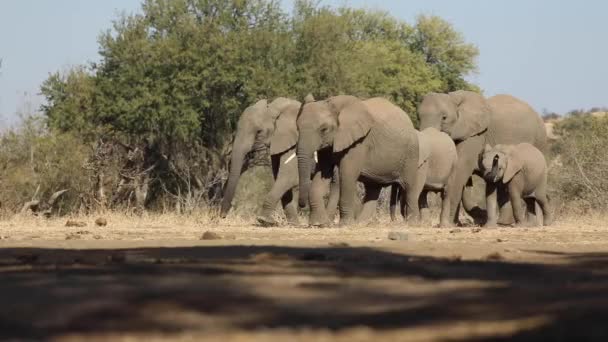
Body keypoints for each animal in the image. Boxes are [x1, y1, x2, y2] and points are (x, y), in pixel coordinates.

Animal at [296, 95, 420, 226]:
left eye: (324, 129)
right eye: (297, 128)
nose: (302, 205)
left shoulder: (360, 142)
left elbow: (347, 174)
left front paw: (345, 224)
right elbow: (322, 174)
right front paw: (317, 224)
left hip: (411, 154)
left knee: (410, 187)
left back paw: (412, 223)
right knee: (373, 189)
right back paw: (362, 223)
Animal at [418, 91, 548, 224]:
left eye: (444, 117)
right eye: (419, 116)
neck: (455, 98)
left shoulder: (476, 135)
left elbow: (460, 171)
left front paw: (450, 223)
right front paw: (457, 223)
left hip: (540, 142)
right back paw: (503, 222)